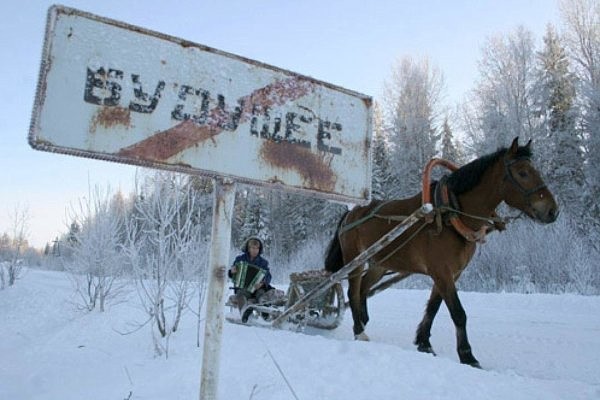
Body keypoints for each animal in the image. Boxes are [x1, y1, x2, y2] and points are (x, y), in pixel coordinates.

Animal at [326, 138, 560, 368]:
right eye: (523, 173)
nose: (552, 211)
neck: (451, 214)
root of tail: (351, 213)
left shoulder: (451, 273)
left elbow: (433, 307)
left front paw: (424, 342)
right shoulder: (441, 271)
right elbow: (458, 313)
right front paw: (467, 355)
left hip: (380, 263)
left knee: (364, 289)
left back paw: (363, 320)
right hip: (355, 259)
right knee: (353, 292)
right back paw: (359, 331)